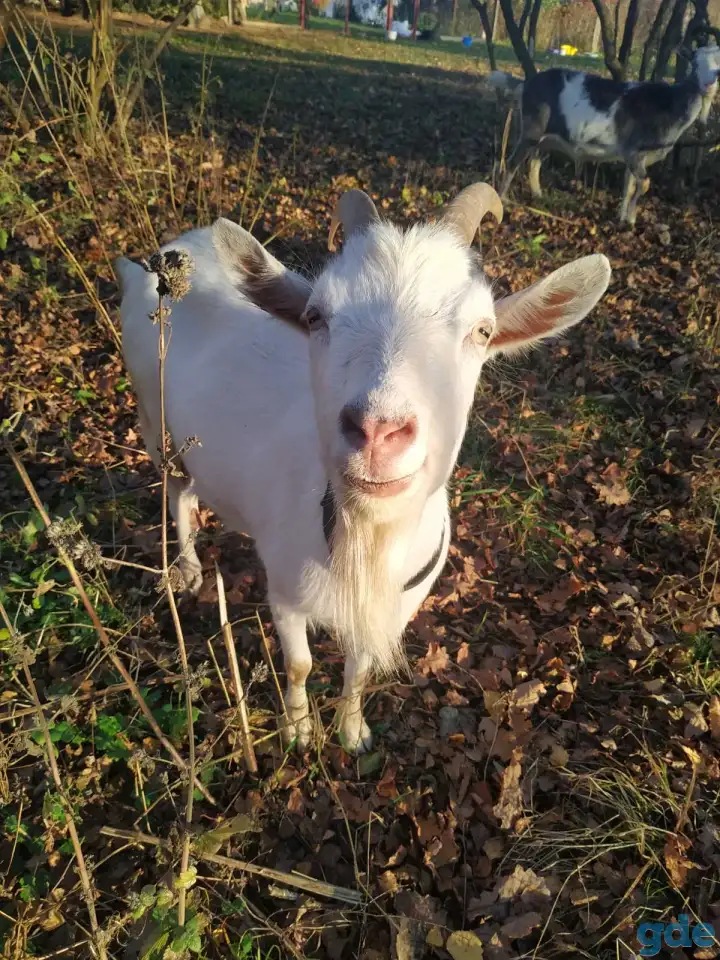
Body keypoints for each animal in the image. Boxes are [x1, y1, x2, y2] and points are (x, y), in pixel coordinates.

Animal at [116, 184, 611, 754]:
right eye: (315, 316)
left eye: (483, 331)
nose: (377, 430)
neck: (363, 540)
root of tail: (169, 251)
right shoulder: (285, 592)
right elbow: (300, 664)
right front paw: (299, 730)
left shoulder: (393, 610)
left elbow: (359, 670)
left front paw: (352, 733)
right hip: (154, 418)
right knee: (175, 490)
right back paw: (189, 570)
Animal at [500, 42, 720, 224]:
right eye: (695, 63)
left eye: (718, 67)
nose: (708, 86)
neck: (670, 105)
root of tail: (525, 84)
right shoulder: (634, 151)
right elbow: (644, 184)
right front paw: (631, 221)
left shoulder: (634, 156)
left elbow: (629, 185)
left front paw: (623, 218)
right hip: (531, 129)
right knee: (512, 163)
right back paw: (503, 200)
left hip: (545, 138)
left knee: (534, 162)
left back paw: (538, 196)